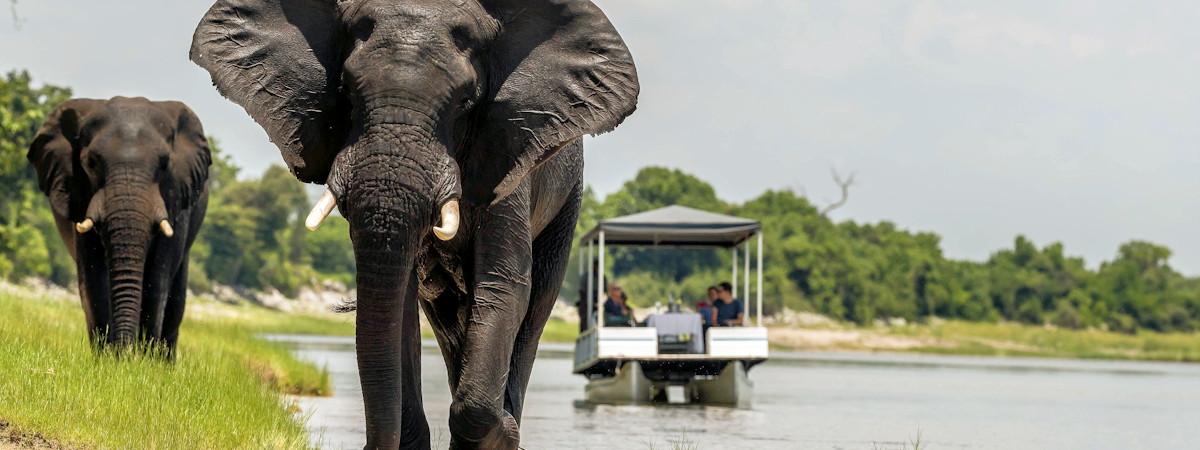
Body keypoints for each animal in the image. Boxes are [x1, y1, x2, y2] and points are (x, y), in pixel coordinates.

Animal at [27, 97, 211, 357]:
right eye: (91, 163)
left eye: (164, 165)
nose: (126, 352)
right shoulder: (81, 196)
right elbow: (93, 277)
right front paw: (108, 359)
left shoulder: (176, 198)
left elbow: (158, 278)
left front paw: (143, 361)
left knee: (176, 301)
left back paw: (162, 361)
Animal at [189, 0, 638, 448]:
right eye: (346, 92)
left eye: (466, 102)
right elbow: (399, 301)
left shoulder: (508, 158)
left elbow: (503, 285)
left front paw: (505, 428)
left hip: (567, 202)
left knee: (534, 307)